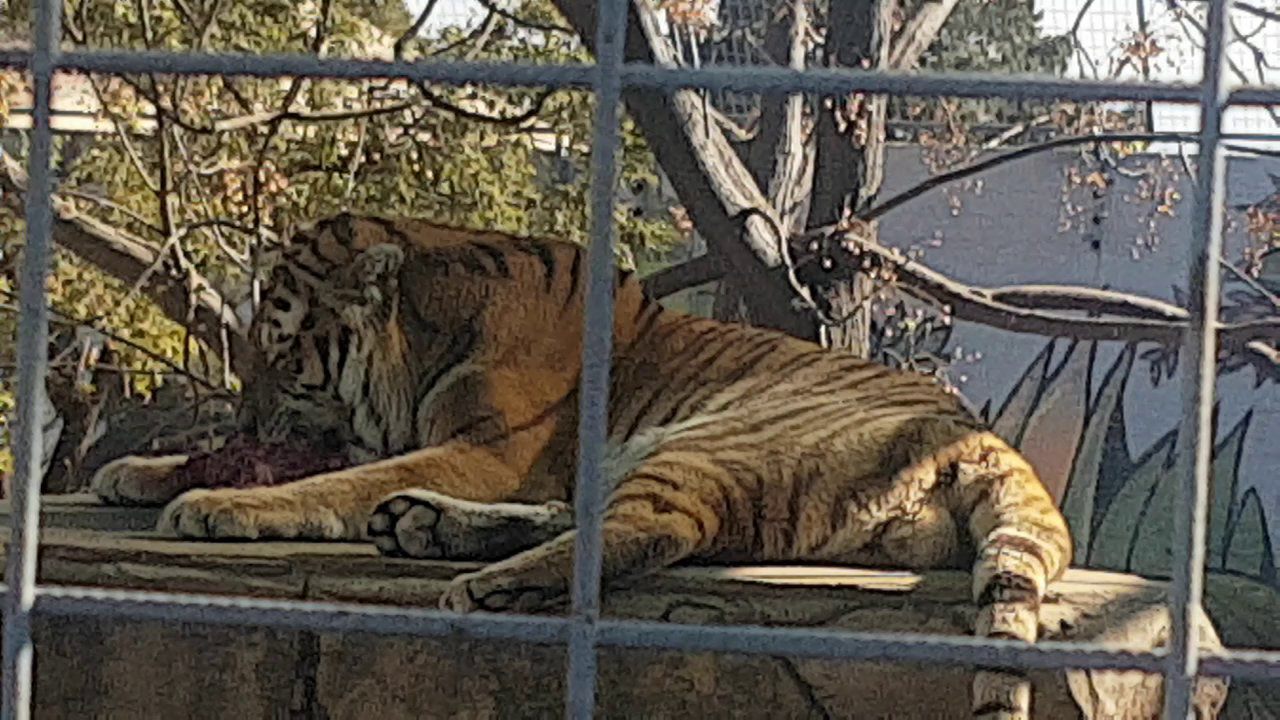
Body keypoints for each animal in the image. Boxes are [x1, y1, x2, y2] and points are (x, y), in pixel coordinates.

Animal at [87, 210, 1070, 712]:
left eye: (281, 350)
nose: (247, 408)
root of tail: (986, 438)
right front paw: (138, 472)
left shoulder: (489, 451)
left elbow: (337, 479)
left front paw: (219, 504)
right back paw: (427, 528)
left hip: (713, 439)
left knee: (653, 530)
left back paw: (479, 580)